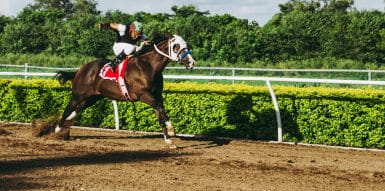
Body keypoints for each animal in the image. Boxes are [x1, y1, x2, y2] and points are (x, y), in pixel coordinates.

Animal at [54, 34, 195, 148]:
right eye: (176, 46)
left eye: (187, 45)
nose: (191, 62)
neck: (149, 66)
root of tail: (81, 69)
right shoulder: (143, 95)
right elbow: (160, 108)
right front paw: (171, 130)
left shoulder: (157, 96)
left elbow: (160, 114)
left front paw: (168, 141)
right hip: (78, 95)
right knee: (68, 108)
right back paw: (57, 129)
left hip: (93, 97)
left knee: (78, 109)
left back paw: (67, 124)